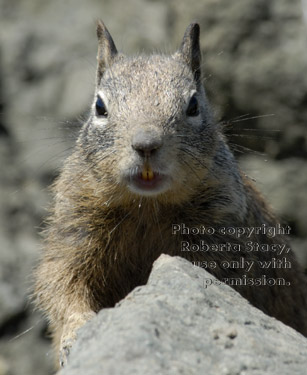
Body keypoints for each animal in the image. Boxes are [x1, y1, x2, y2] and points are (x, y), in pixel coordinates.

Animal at [33, 21, 307, 370]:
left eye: (193, 105)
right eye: (99, 106)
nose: (146, 144)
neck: (147, 207)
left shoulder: (223, 232)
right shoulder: (74, 229)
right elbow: (61, 284)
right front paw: (75, 334)